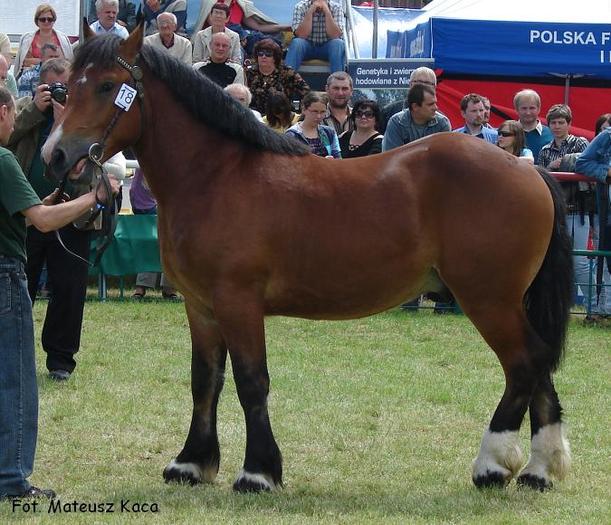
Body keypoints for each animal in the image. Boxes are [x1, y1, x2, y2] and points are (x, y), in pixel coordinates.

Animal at [43, 23, 572, 492]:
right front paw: (191, 464)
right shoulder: (201, 306)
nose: (55, 154)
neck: (215, 176)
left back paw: (493, 465)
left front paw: (258, 472)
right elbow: (204, 380)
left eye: (107, 86)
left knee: (523, 364)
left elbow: (251, 381)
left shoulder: (238, 303)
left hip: (488, 299)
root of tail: (528, 169)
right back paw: (539, 471)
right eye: (67, 86)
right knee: (540, 365)